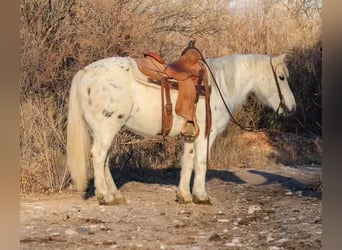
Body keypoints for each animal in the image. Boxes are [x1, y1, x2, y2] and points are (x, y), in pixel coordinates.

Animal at [67, 52, 296, 205]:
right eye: (282, 77)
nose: (292, 107)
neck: (217, 86)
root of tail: (83, 73)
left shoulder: (190, 135)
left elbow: (187, 162)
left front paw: (185, 195)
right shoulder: (206, 134)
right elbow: (201, 163)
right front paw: (201, 196)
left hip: (105, 131)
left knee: (104, 160)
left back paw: (115, 195)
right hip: (107, 129)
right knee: (98, 157)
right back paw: (105, 196)